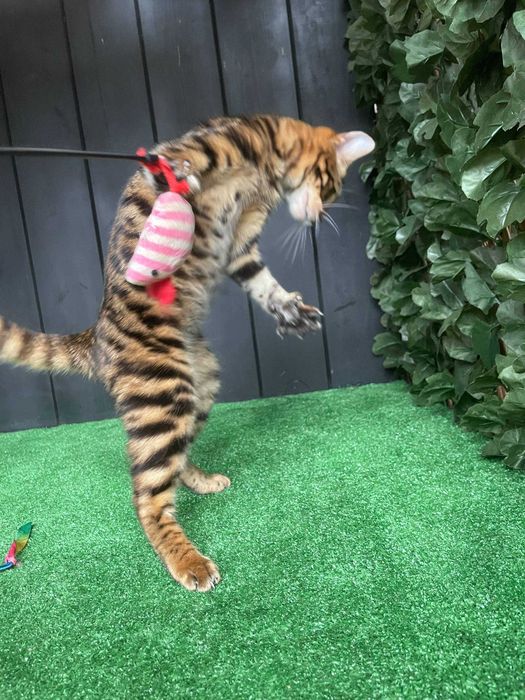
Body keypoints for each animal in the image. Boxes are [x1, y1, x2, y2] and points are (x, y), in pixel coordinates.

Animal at [0, 115, 374, 591]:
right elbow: (177, 172)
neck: (265, 174)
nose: (318, 218)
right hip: (163, 394)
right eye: (329, 187)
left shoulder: (242, 245)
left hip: (200, 383)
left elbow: (262, 282)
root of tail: (96, 338)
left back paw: (202, 481)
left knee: (170, 465)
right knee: (147, 497)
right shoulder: (202, 152)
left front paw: (290, 310)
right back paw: (189, 562)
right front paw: (180, 187)